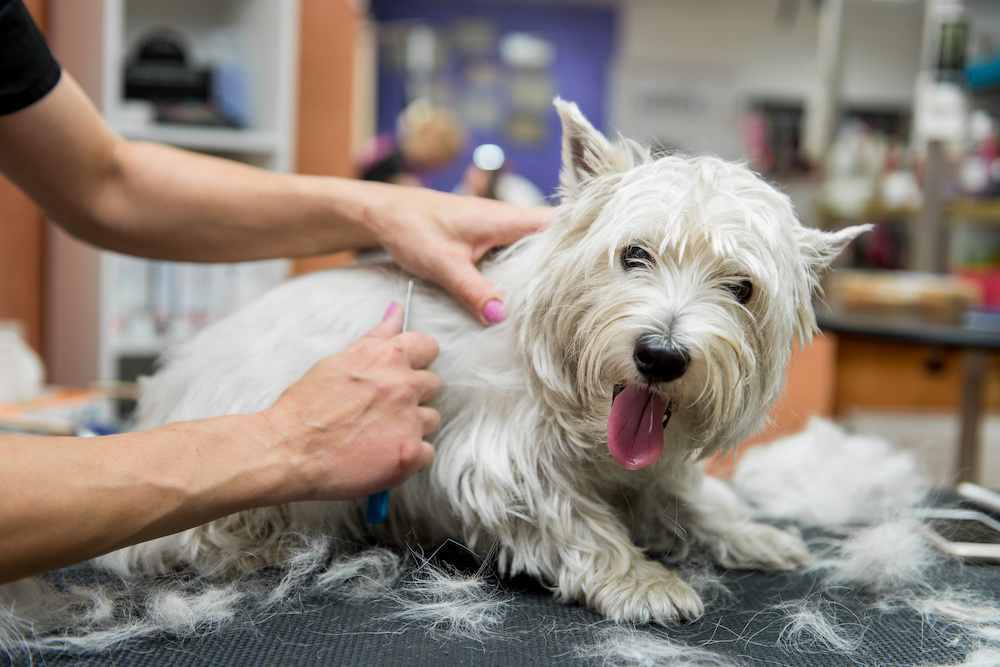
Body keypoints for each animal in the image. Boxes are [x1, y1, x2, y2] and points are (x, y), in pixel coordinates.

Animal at [103, 100, 868, 628]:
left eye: (741, 288)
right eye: (634, 254)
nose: (661, 355)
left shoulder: (648, 466)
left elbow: (689, 496)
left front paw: (750, 532)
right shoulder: (500, 462)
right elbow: (580, 522)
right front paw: (644, 581)